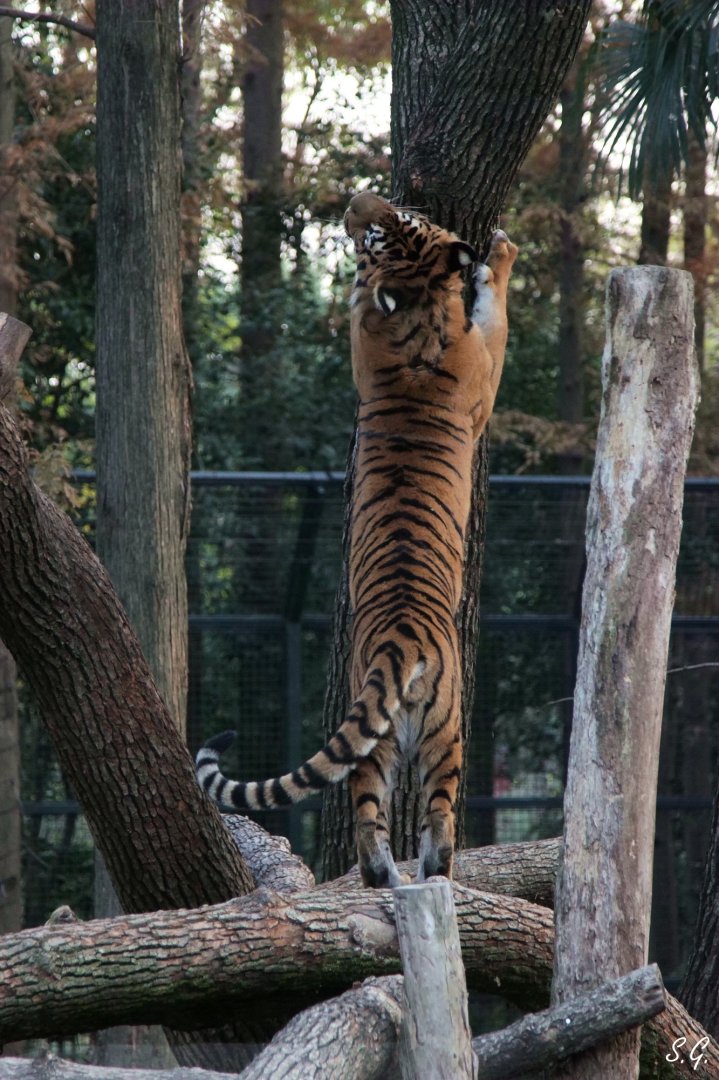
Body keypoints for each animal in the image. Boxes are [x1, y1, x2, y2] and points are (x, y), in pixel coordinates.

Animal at [196, 192, 517, 887]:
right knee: (430, 819)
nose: (354, 202)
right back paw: (425, 874)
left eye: (397, 218)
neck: (416, 308)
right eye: (379, 228)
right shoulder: (482, 379)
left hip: (386, 741)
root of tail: (402, 640)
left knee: (380, 819)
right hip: (444, 735)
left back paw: (392, 880)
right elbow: (496, 312)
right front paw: (498, 256)